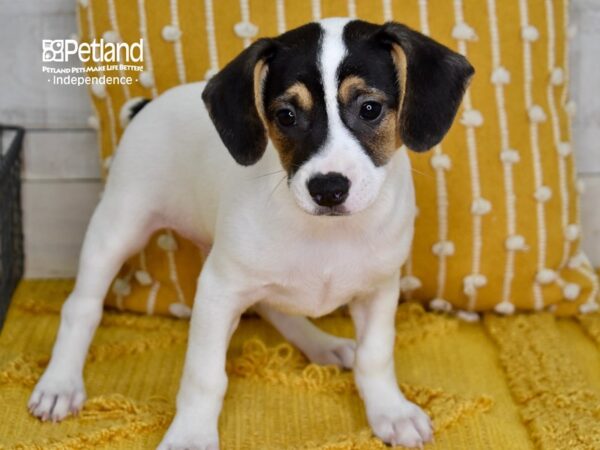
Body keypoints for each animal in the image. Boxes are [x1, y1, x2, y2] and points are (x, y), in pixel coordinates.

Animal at [29, 18, 474, 450]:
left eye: (370, 108)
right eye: (286, 116)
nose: (328, 188)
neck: (325, 233)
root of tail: (148, 105)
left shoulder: (379, 290)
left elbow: (375, 356)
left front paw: (390, 411)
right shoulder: (217, 291)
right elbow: (205, 375)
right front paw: (191, 435)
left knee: (278, 310)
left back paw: (324, 344)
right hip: (118, 227)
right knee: (82, 307)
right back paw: (60, 383)